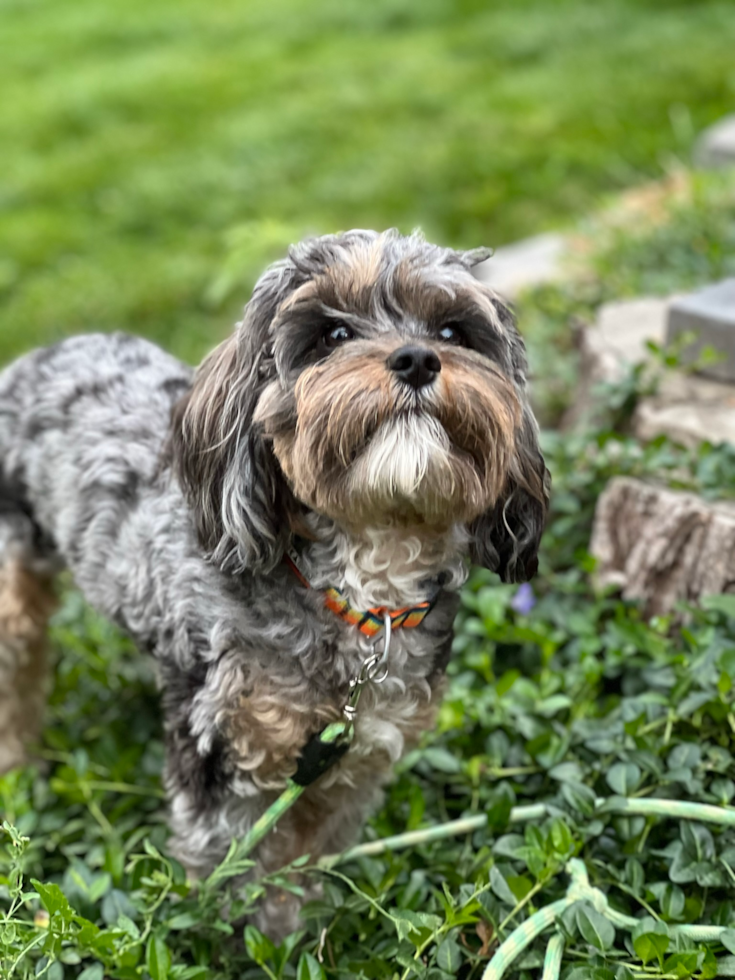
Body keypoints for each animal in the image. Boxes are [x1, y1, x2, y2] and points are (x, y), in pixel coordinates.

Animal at [0, 228, 548, 936]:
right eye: (333, 333)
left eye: (454, 330)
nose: (418, 358)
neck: (359, 592)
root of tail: (40, 354)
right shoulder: (223, 751)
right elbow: (232, 872)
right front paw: (248, 938)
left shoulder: (352, 756)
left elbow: (304, 856)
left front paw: (301, 927)